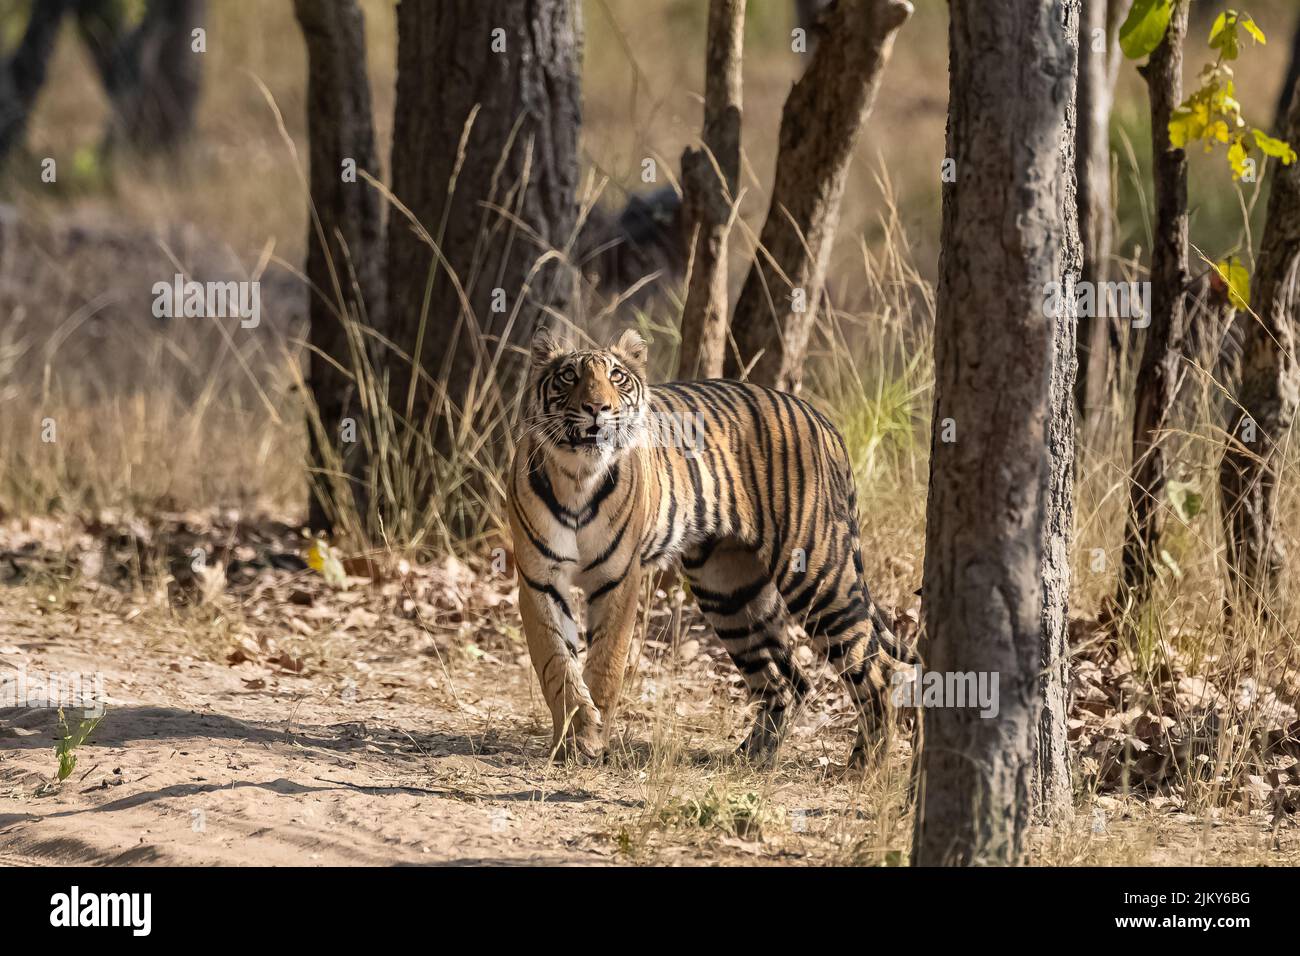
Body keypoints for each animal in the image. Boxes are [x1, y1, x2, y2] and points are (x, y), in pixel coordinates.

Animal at [501, 325, 909, 764]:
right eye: (568, 376)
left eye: (616, 376)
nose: (597, 407)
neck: (578, 477)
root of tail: (821, 419)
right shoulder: (540, 579)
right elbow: (556, 663)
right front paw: (574, 735)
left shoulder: (619, 580)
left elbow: (607, 663)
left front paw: (592, 741)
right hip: (729, 593)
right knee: (789, 679)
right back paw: (752, 758)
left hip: (816, 574)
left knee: (878, 669)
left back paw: (864, 764)